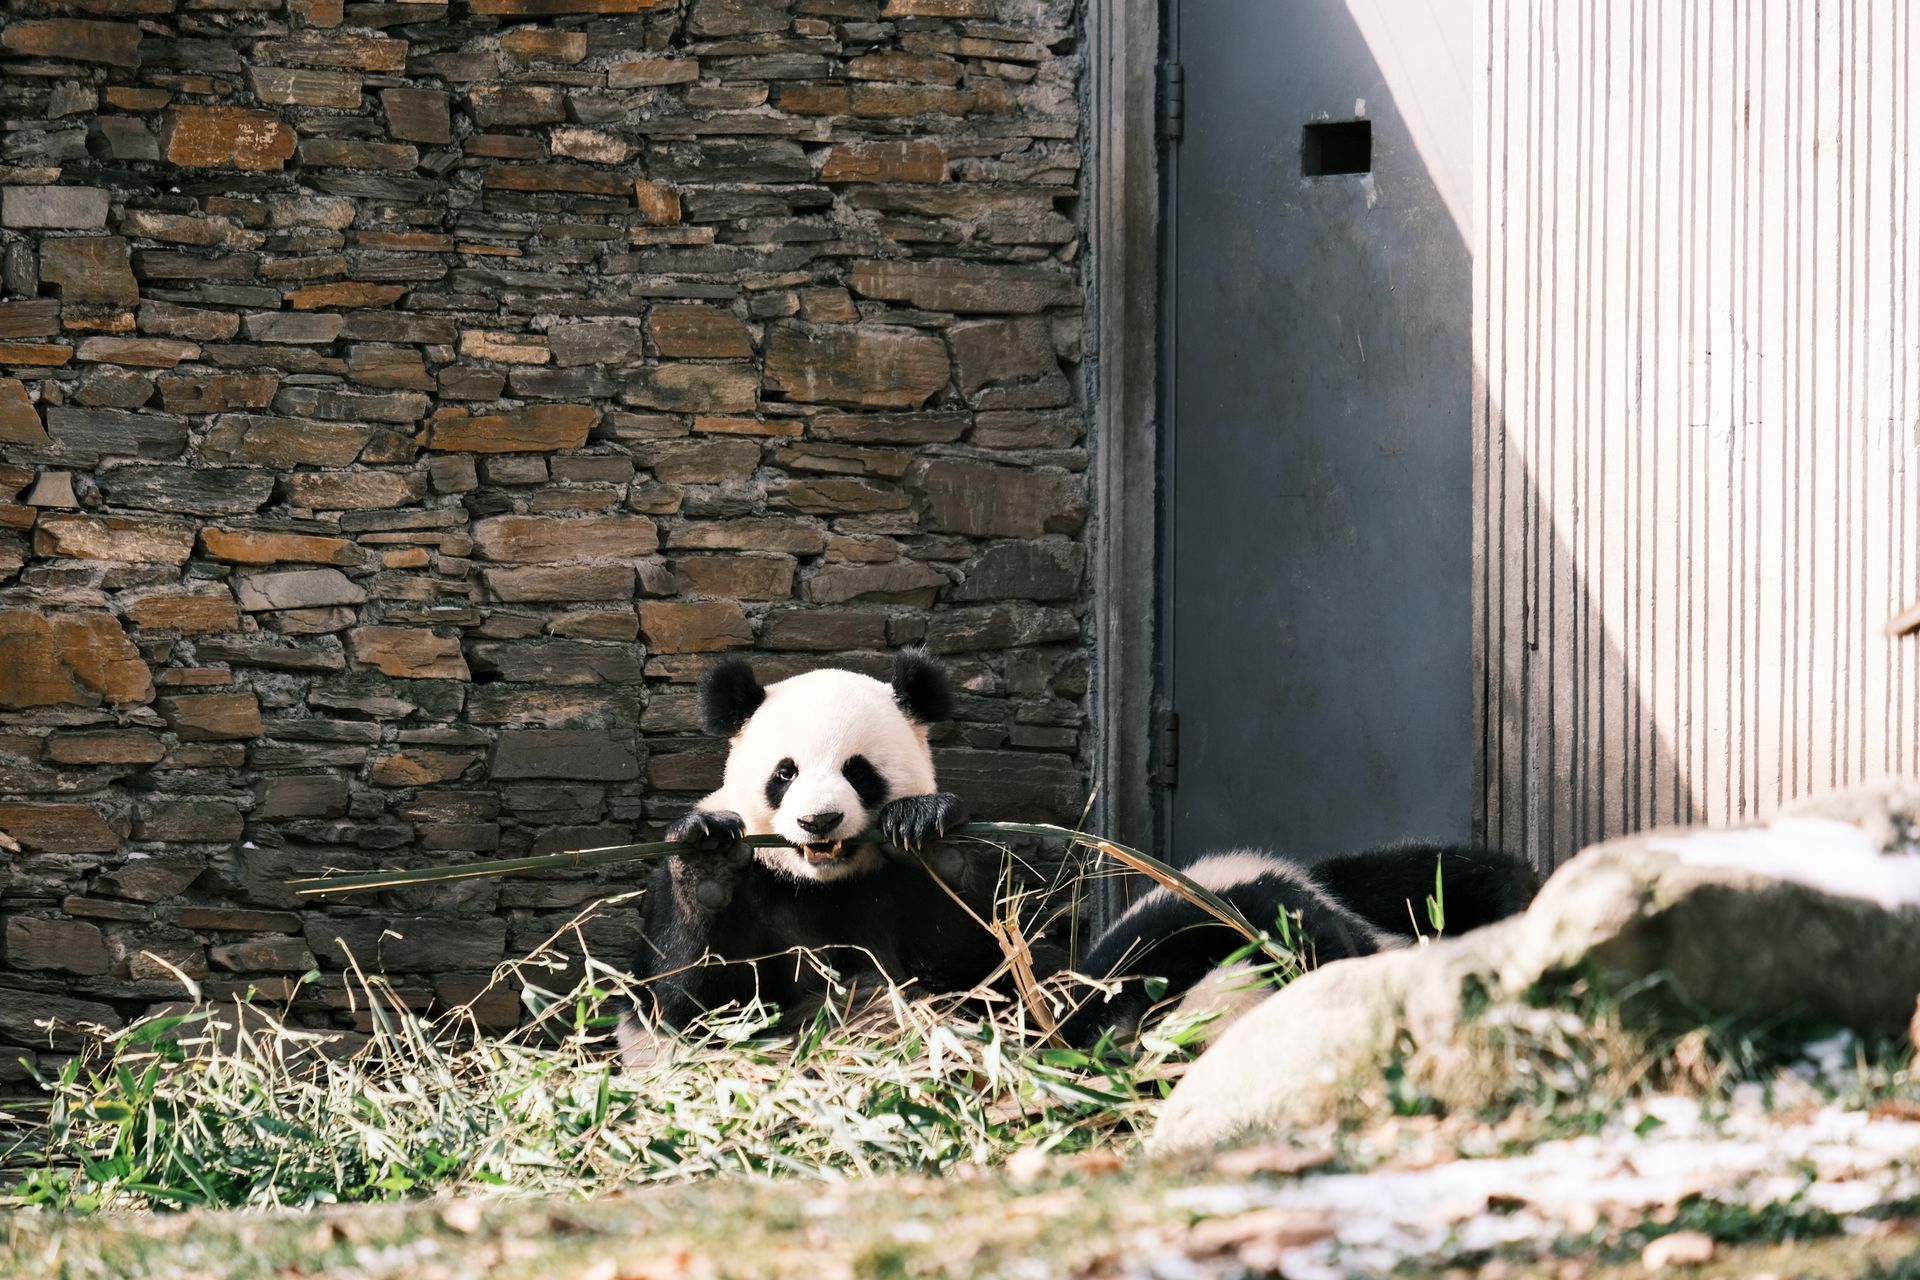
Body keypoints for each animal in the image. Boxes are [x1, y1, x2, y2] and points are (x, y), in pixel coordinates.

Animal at [621, 650, 1539, 1057]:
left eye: (859, 771)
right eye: (781, 772)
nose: (817, 821)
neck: (831, 884)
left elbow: (983, 971)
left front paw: (930, 831)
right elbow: (694, 1002)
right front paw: (708, 858)